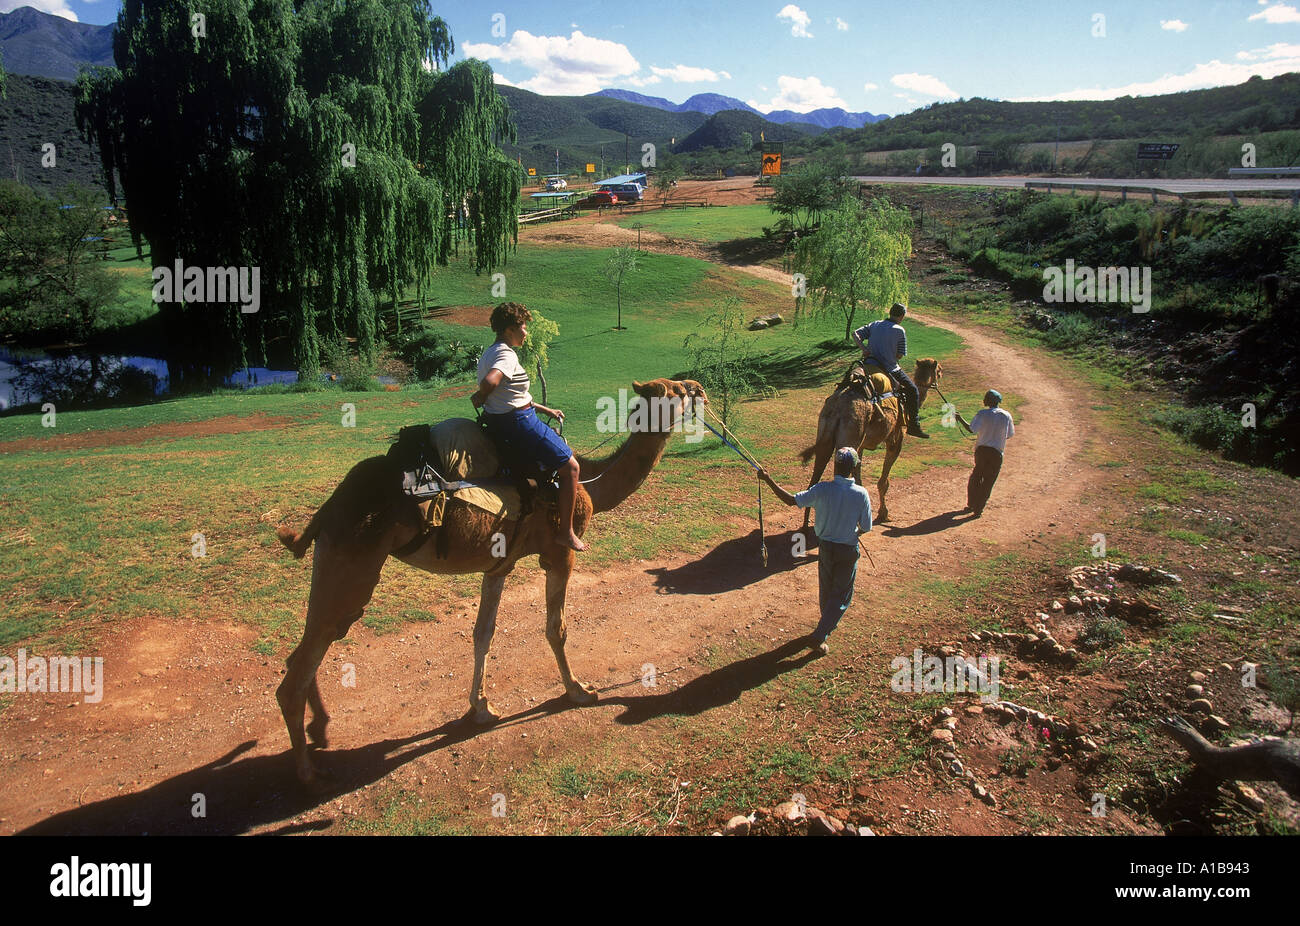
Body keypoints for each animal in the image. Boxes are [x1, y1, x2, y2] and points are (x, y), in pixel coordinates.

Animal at [267, 377, 707, 790]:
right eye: (674, 390)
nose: (699, 388)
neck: (591, 485)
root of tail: (328, 509)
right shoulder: (560, 554)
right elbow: (556, 628)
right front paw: (579, 690)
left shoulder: (500, 565)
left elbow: (484, 632)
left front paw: (481, 708)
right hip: (353, 564)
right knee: (303, 663)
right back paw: (308, 772)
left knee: (309, 647)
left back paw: (320, 730)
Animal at [795, 358, 941, 525]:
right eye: (938, 370)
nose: (940, 376)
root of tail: (839, 407)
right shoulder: (895, 437)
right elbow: (883, 482)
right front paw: (884, 514)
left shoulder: (861, 446)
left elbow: (858, 475)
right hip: (851, 431)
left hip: (827, 431)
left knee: (817, 471)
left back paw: (806, 524)